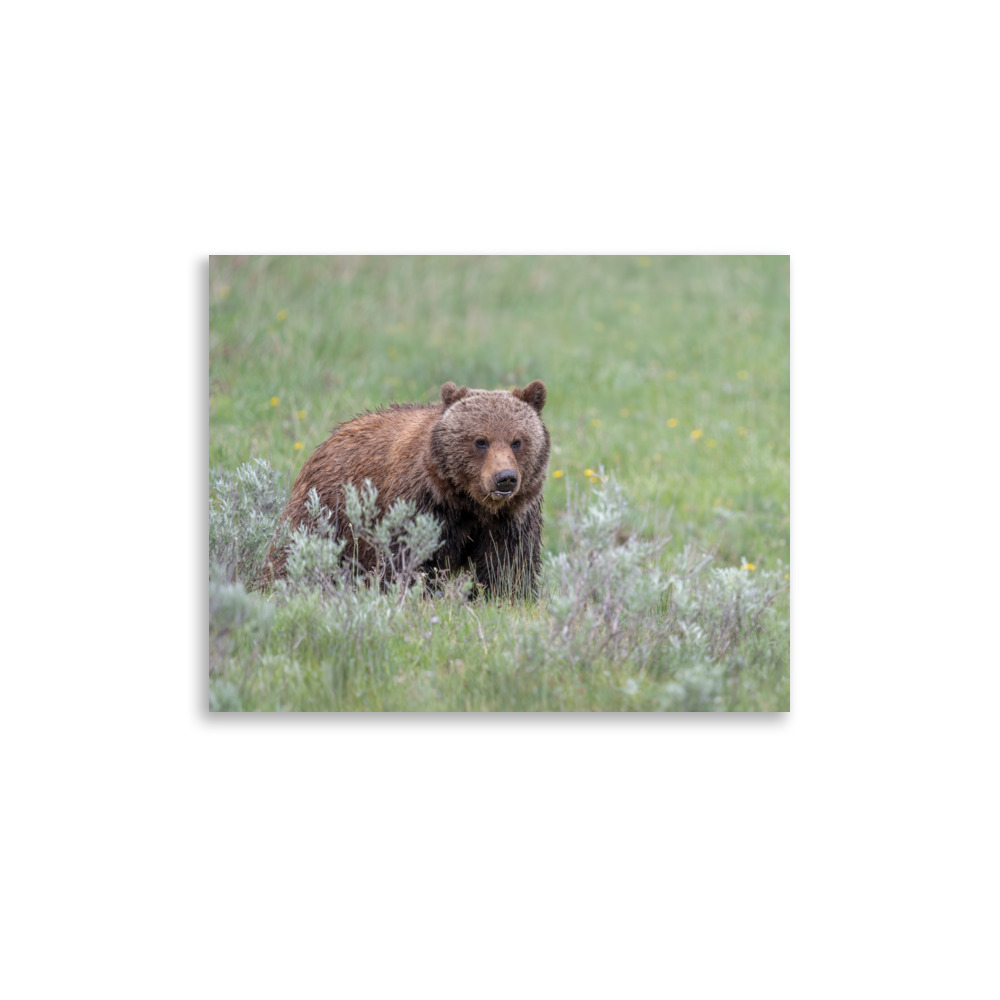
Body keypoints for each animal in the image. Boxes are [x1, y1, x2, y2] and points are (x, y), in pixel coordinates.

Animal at [266, 380, 550, 597]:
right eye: (480, 441)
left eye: (517, 441)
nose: (505, 478)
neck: (468, 501)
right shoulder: (421, 504)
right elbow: (407, 558)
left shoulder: (511, 517)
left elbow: (508, 565)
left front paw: (504, 596)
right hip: (327, 508)